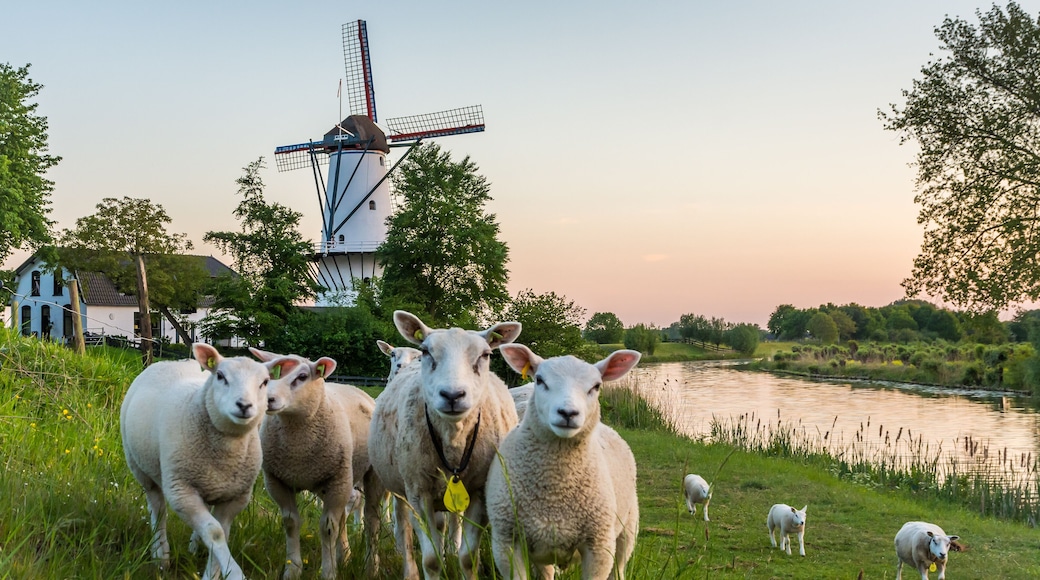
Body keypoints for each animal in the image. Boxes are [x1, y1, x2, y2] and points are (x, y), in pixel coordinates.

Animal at [120, 343, 292, 580]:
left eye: (265, 382)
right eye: (220, 376)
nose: (244, 405)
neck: (226, 453)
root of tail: (173, 361)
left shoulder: (236, 496)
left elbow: (221, 533)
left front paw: (214, 572)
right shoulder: (181, 491)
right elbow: (215, 532)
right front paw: (234, 572)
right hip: (141, 468)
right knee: (157, 509)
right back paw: (160, 555)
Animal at [250, 348, 384, 580]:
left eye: (302, 376)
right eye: (268, 377)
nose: (269, 400)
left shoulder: (336, 480)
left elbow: (328, 528)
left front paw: (329, 571)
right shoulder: (276, 481)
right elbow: (291, 523)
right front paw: (292, 569)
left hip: (364, 475)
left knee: (371, 519)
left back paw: (371, 566)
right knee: (343, 518)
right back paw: (344, 556)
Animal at [368, 310, 522, 580]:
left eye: (486, 355)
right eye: (426, 351)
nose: (452, 395)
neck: (453, 439)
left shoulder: (478, 491)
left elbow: (468, 558)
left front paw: (457, 555)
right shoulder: (418, 492)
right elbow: (430, 560)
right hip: (399, 482)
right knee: (402, 524)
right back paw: (408, 567)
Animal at [486, 344, 642, 580]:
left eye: (596, 386)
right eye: (539, 380)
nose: (568, 413)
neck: (555, 491)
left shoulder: (599, 546)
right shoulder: (506, 543)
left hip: (627, 527)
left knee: (620, 568)